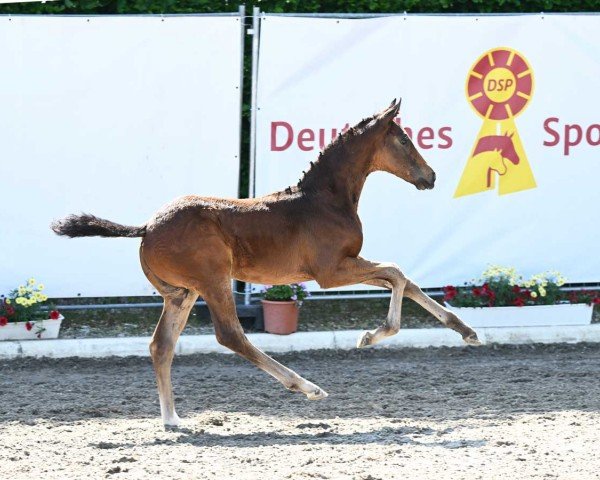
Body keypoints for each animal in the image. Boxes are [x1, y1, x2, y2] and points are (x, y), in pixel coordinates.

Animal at [54, 99, 480, 426]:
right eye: (405, 140)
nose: (431, 176)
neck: (325, 200)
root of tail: (146, 226)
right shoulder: (331, 271)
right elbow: (397, 272)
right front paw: (372, 335)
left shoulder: (345, 264)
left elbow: (404, 280)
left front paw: (467, 331)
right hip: (213, 280)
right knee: (230, 335)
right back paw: (306, 387)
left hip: (182, 292)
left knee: (162, 345)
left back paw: (172, 418)